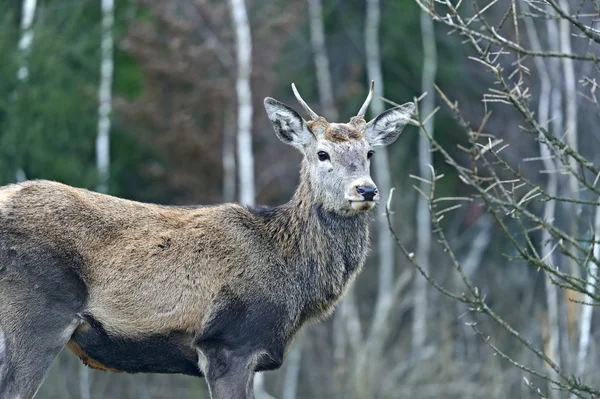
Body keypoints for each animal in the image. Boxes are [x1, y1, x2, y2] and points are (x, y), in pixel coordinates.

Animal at [0, 82, 414, 399]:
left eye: (369, 152)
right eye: (322, 153)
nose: (366, 189)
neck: (292, 276)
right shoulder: (228, 344)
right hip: (36, 315)